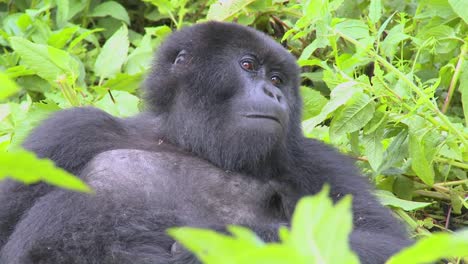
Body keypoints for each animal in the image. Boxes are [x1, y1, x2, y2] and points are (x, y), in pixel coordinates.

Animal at [0, 21, 410, 262]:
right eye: (248, 66)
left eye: (277, 79)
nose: (274, 93)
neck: (190, 144)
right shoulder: (73, 131)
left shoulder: (315, 161)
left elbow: (386, 241)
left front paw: (211, 239)